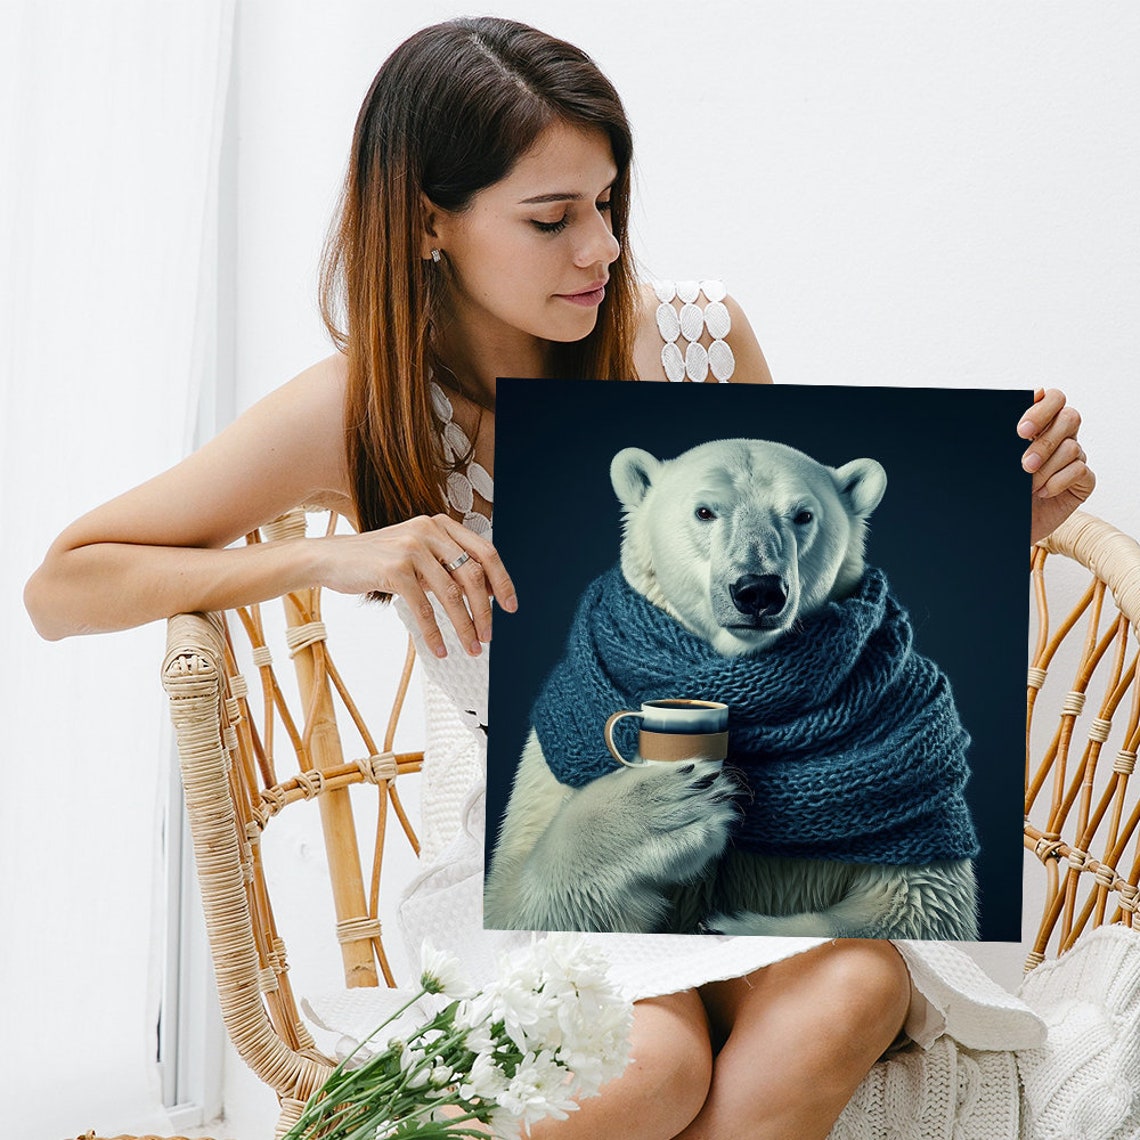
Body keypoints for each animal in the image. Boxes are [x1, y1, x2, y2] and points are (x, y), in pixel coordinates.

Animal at [483, 438, 980, 941]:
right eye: (705, 511)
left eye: (803, 514)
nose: (758, 590)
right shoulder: (548, 764)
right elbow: (514, 901)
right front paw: (661, 809)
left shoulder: (926, 811)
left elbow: (921, 909)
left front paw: (728, 924)